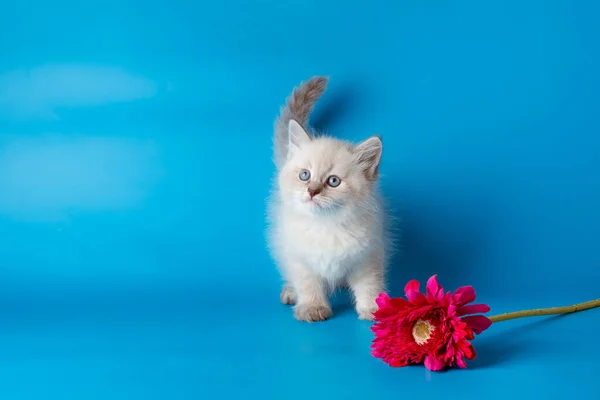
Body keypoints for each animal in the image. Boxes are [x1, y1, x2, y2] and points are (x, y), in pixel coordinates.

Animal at [268, 76, 390, 324]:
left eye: (333, 181)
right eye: (305, 175)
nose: (312, 191)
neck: (326, 225)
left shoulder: (368, 256)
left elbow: (370, 285)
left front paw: (373, 308)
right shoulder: (299, 258)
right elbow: (308, 284)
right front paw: (312, 307)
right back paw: (290, 292)